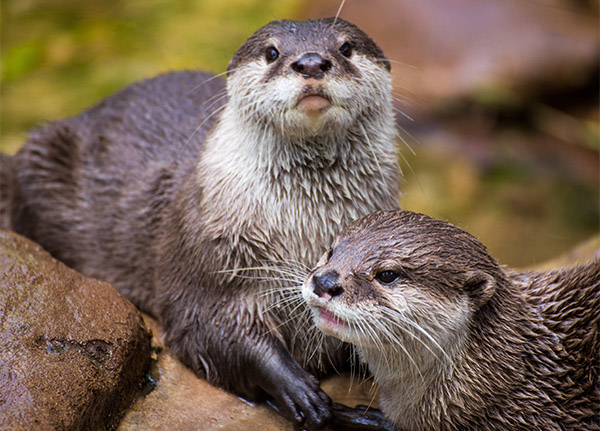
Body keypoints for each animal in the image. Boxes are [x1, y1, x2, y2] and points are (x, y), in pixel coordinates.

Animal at [2, 18, 404, 430]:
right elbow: (208, 326)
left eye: (346, 48)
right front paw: (300, 391)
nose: (310, 62)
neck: (303, 232)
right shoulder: (207, 249)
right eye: (272, 52)